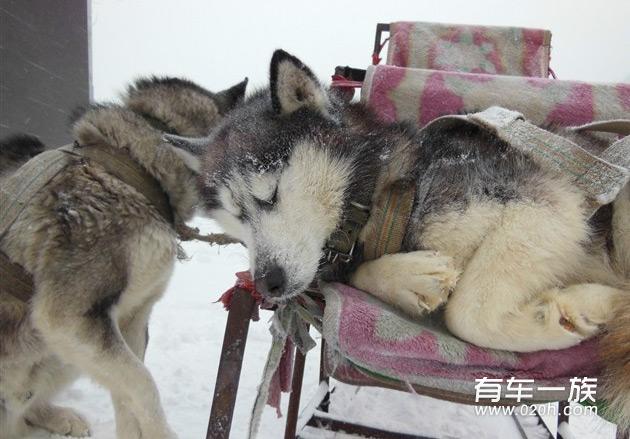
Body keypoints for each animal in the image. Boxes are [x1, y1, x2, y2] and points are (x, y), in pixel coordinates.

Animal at [0, 77, 247, 438]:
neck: (138, 170)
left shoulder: (129, 318)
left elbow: (127, 395)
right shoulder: (69, 318)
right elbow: (143, 385)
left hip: (58, 355)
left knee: (26, 409)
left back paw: (58, 416)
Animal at [173, 51, 630, 426]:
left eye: (268, 193)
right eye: (235, 216)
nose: (267, 282)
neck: (380, 194)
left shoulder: (545, 204)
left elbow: (467, 313)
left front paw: (573, 312)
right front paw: (408, 279)